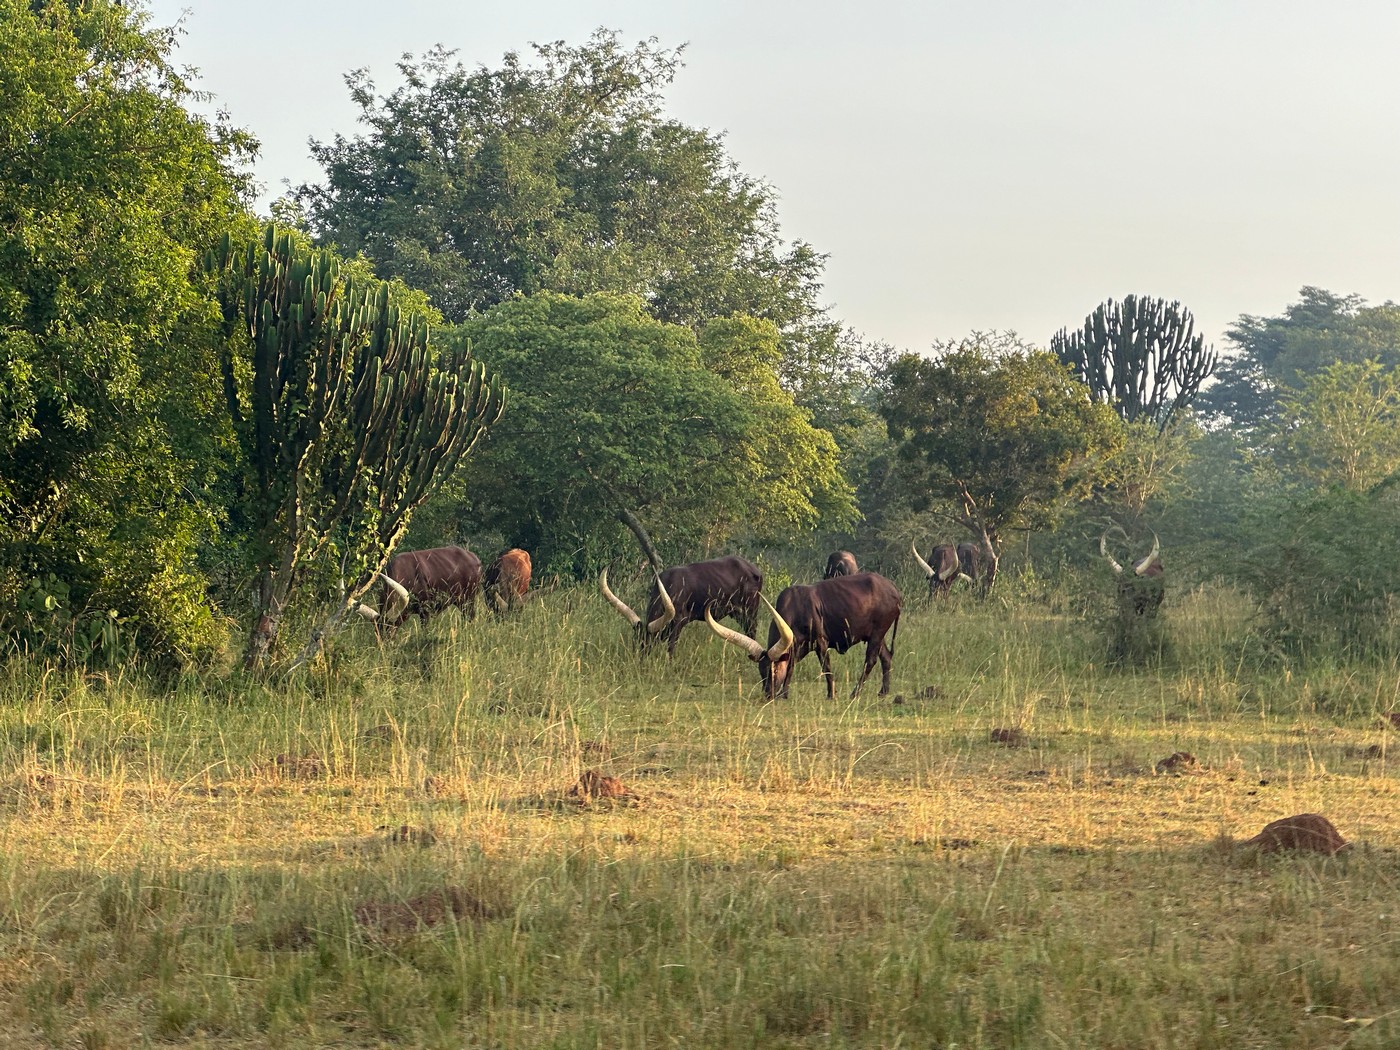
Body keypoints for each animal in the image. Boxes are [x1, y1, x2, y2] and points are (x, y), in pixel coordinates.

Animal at [596, 554, 761, 655]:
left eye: (648, 642)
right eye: (635, 641)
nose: (639, 661)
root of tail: (754, 569)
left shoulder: (678, 623)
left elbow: (671, 648)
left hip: (750, 612)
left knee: (751, 633)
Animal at [705, 571, 901, 702]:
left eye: (774, 670)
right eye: (762, 670)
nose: (768, 694)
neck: (797, 607)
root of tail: (893, 588)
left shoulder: (821, 642)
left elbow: (826, 667)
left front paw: (831, 694)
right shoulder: (796, 646)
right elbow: (791, 668)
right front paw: (784, 694)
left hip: (877, 633)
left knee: (871, 660)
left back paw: (855, 693)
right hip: (876, 636)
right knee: (886, 657)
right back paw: (883, 691)